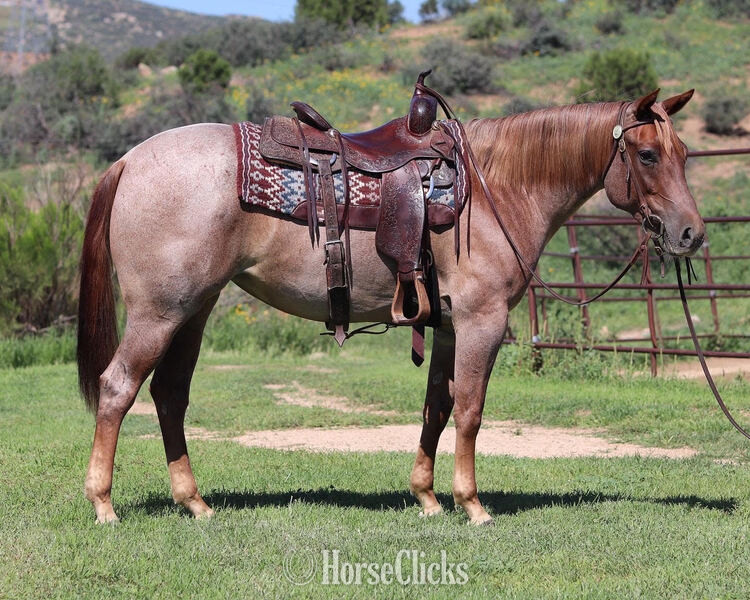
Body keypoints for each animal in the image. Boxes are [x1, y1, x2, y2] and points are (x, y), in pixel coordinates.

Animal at [78, 88, 703, 524]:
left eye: (684, 154)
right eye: (648, 154)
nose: (691, 233)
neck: (494, 188)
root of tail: (130, 160)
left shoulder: (447, 326)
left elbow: (437, 408)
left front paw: (427, 497)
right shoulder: (482, 321)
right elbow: (471, 410)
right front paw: (472, 505)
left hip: (194, 309)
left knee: (169, 396)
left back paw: (195, 503)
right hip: (160, 312)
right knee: (118, 388)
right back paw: (104, 504)